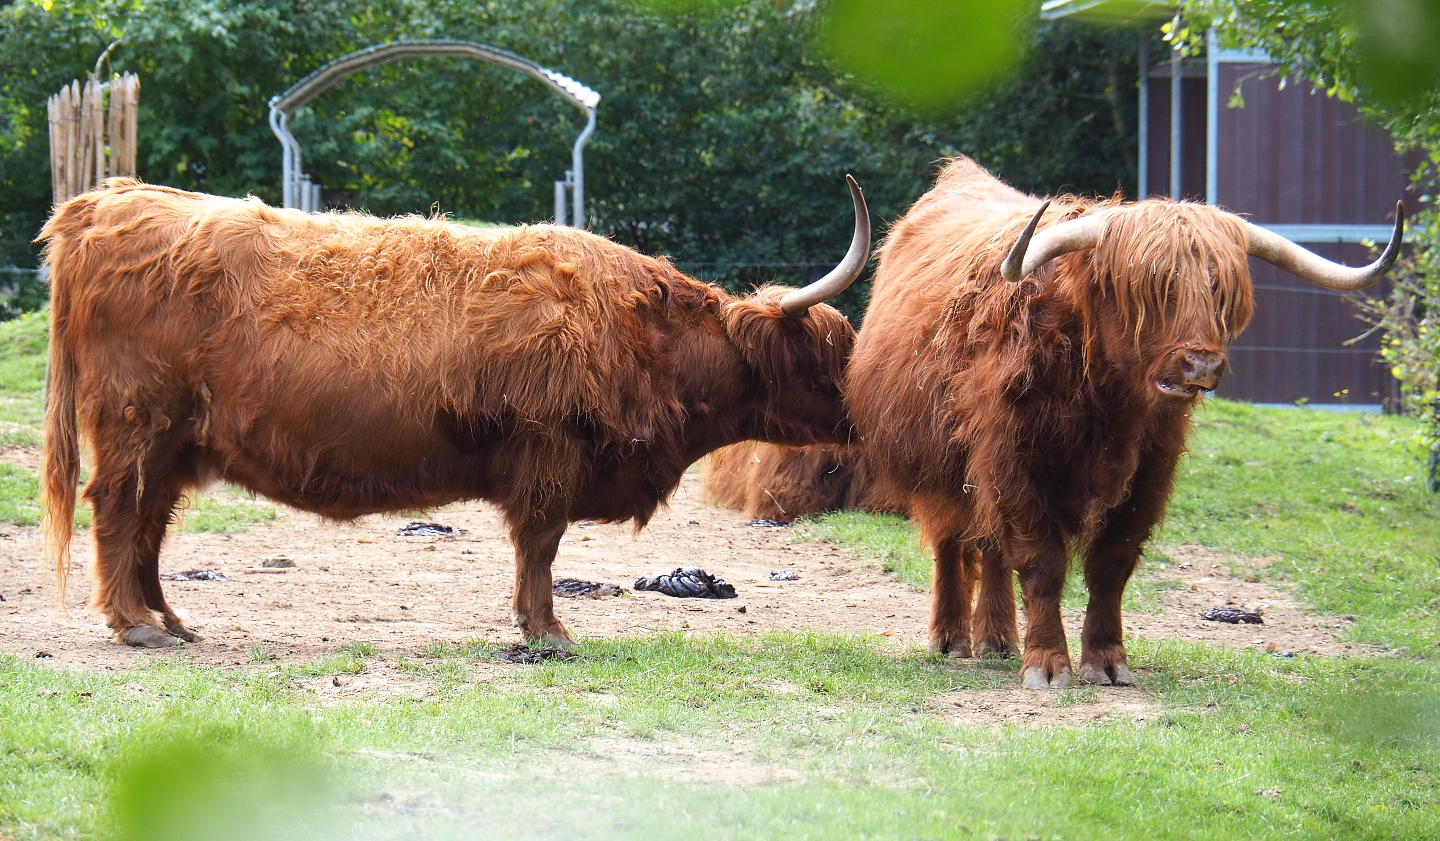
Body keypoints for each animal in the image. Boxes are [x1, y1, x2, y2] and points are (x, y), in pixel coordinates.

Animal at [41, 175, 870, 648]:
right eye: (827, 355)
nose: (863, 416)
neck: (648, 336)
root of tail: (105, 200)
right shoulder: (549, 450)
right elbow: (541, 544)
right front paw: (548, 631)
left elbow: (538, 547)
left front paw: (541, 626)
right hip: (136, 422)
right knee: (116, 508)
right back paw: (135, 624)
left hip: (173, 442)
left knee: (149, 522)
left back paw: (170, 620)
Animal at [846, 157, 1402, 689]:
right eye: (1153, 288)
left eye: (1218, 288)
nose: (1201, 364)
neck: (1105, 401)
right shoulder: (1010, 462)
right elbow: (1041, 562)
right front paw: (1047, 664)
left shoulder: (1150, 471)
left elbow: (1111, 564)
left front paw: (1107, 661)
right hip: (935, 460)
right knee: (953, 539)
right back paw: (952, 638)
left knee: (989, 546)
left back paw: (998, 639)